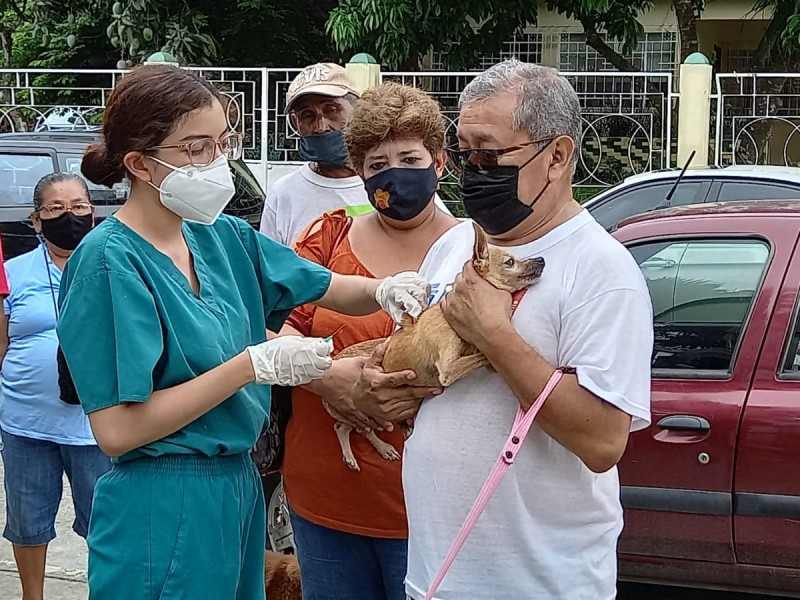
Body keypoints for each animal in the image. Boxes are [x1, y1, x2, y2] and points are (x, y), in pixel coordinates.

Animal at [324, 223, 544, 472]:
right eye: (510, 262)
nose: (541, 260)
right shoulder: (448, 369)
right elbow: (482, 354)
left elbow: (475, 349)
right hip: (367, 411)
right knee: (349, 428)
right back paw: (371, 450)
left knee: (353, 428)